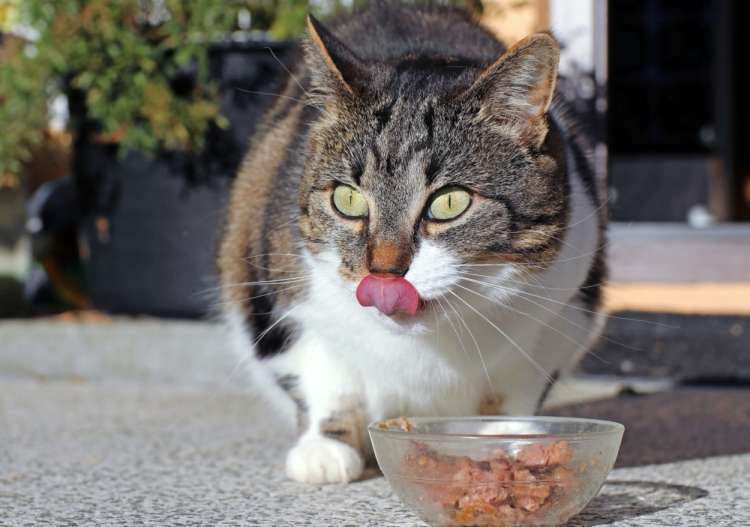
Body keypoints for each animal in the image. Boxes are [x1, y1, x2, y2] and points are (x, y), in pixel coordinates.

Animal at [220, 2, 608, 484]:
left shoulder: (562, 316)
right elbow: (325, 375)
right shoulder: (285, 296)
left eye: (450, 202)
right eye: (347, 198)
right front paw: (325, 450)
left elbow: (516, 389)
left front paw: (511, 439)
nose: (384, 271)